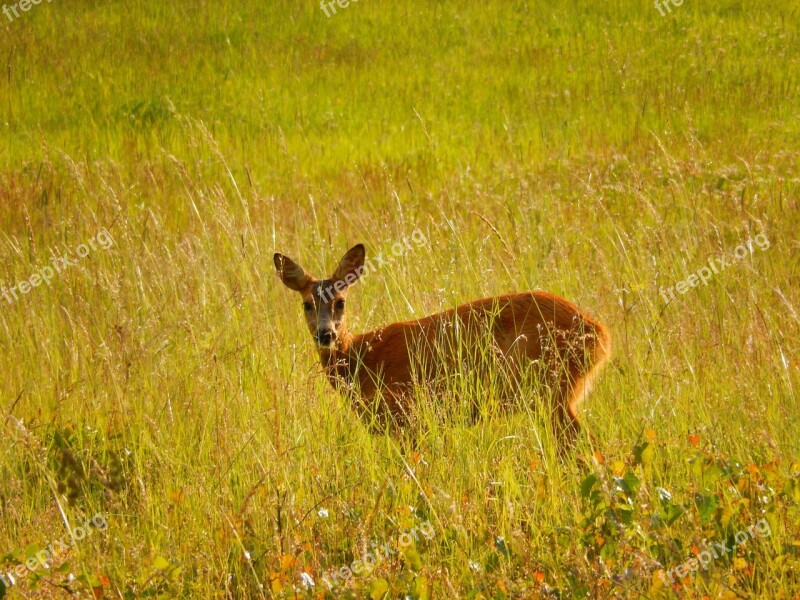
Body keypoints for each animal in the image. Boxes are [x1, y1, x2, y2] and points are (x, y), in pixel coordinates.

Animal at [276, 244, 612, 450]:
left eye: (340, 302)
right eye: (307, 304)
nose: (326, 334)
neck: (364, 358)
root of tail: (601, 334)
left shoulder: (407, 413)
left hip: (552, 389)